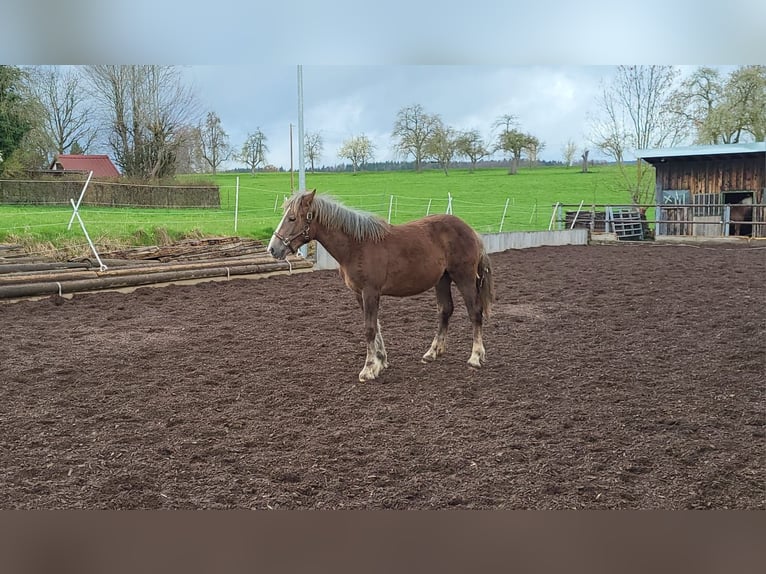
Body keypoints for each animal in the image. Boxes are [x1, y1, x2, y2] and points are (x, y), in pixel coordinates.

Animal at [270, 191, 498, 384]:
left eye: (292, 218)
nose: (273, 248)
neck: (356, 246)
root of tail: (471, 231)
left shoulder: (370, 291)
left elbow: (369, 328)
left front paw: (369, 369)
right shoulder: (360, 294)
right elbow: (376, 325)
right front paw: (381, 362)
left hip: (464, 278)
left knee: (474, 312)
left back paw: (476, 357)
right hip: (442, 279)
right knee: (445, 310)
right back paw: (432, 352)